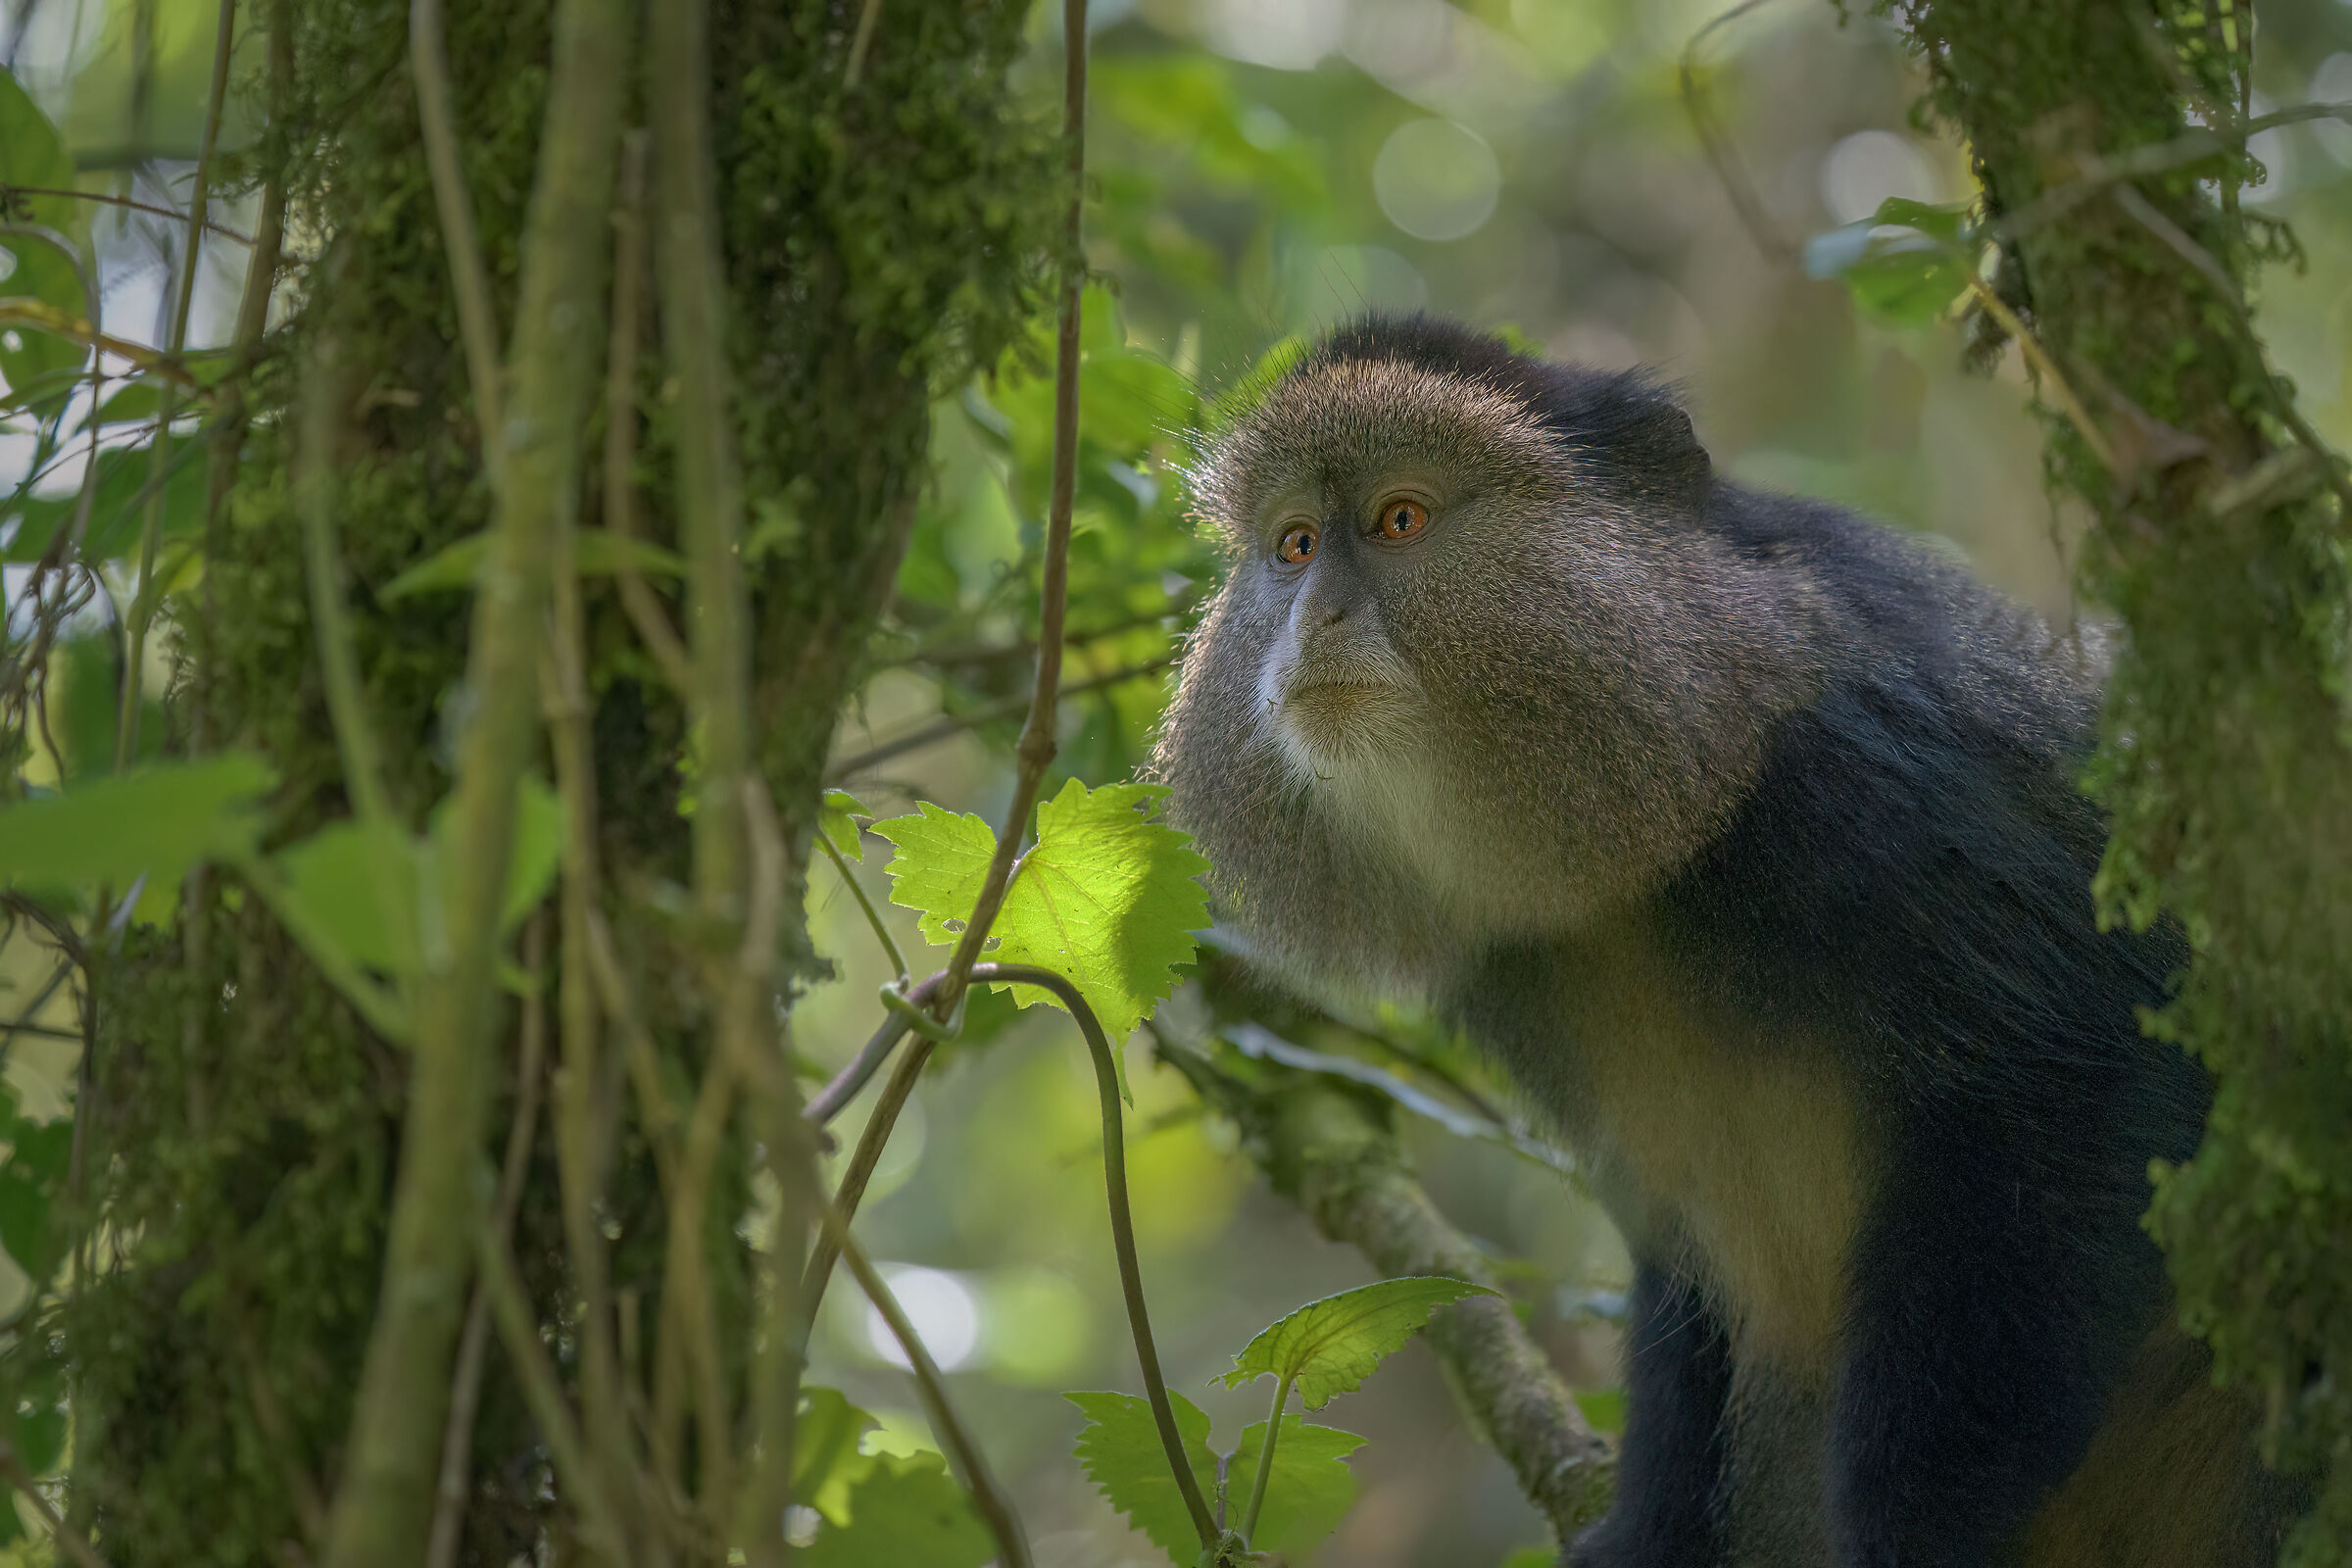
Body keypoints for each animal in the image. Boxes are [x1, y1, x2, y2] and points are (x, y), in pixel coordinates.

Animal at [1149, 315, 2308, 1567]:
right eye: (1294, 546)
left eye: (1398, 520)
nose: (1313, 620)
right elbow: (1677, 1270)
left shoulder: (1879, 773)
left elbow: (2087, 1066)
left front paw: (1918, 1533)